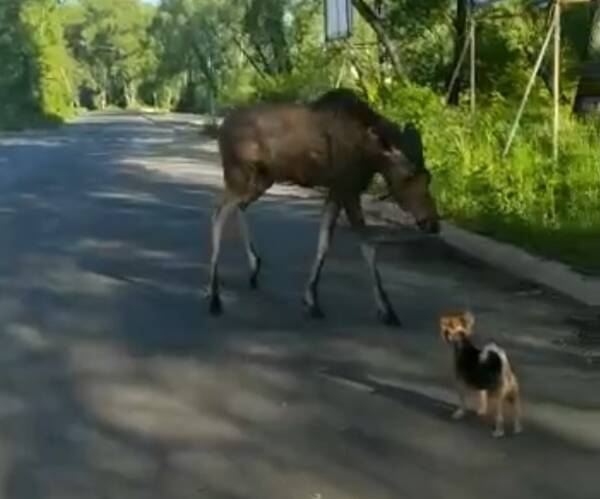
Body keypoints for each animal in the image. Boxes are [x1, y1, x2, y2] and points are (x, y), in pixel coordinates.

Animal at [209, 88, 438, 326]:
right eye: (409, 177)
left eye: (428, 178)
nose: (433, 222)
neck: (370, 154)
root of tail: (221, 128)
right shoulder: (347, 188)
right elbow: (368, 247)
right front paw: (387, 309)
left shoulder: (338, 190)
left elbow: (324, 242)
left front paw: (311, 300)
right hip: (239, 175)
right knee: (218, 214)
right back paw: (215, 296)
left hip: (261, 181)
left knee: (239, 207)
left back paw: (254, 267)